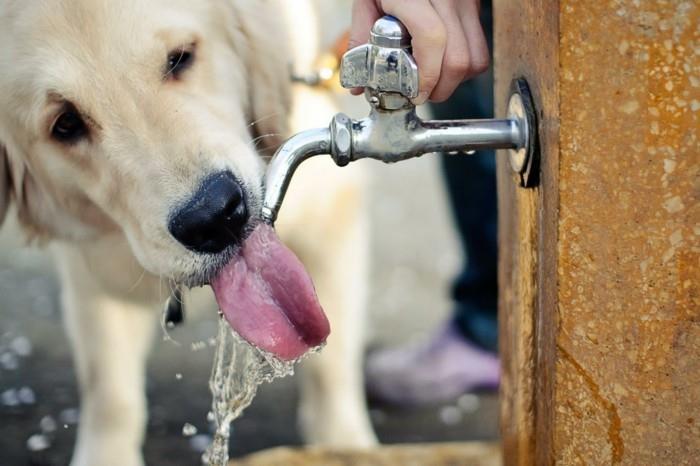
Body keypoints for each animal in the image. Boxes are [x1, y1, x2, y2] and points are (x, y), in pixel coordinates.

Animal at [0, 1, 378, 464]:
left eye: (180, 58)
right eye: (65, 123)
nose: (214, 217)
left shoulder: (331, 211)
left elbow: (332, 367)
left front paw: (345, 446)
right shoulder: (94, 266)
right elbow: (110, 391)